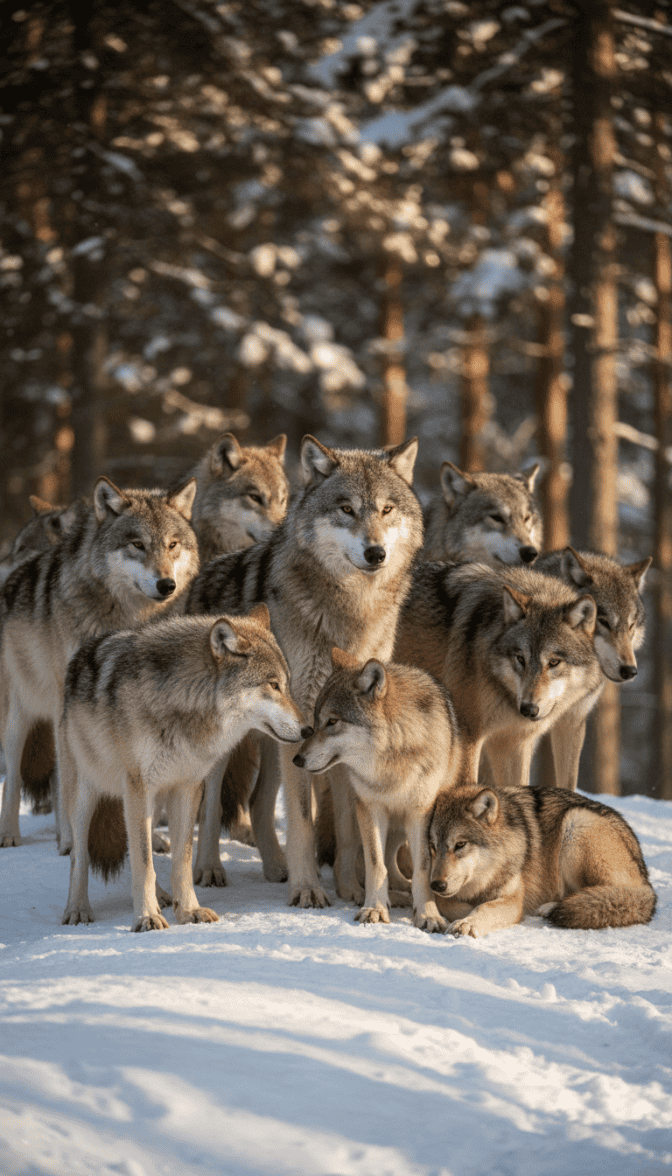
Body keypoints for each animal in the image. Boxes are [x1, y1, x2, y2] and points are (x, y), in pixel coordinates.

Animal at [0, 477, 199, 850]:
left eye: (172, 545)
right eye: (138, 544)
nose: (167, 584)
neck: (128, 615)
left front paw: (151, 840)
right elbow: (68, 779)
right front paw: (71, 842)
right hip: (20, 716)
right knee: (16, 776)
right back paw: (11, 833)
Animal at [60, 606, 306, 931]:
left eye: (287, 685)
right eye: (273, 685)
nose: (308, 729)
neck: (183, 701)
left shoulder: (187, 788)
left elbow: (180, 860)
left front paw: (188, 910)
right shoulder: (138, 787)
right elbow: (142, 862)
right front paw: (146, 917)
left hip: (151, 803)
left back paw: (163, 897)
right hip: (87, 796)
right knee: (80, 856)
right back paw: (77, 909)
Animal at [293, 648, 463, 932]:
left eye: (332, 721)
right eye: (316, 722)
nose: (297, 759)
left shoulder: (420, 812)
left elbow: (421, 868)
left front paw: (427, 913)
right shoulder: (370, 808)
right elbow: (376, 864)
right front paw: (374, 907)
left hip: (401, 824)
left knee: (394, 860)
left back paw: (402, 893)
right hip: (351, 810)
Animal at [428, 781, 657, 936]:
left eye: (460, 845)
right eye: (432, 847)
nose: (436, 884)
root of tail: (647, 885)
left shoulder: (512, 899)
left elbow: (484, 907)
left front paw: (467, 922)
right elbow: (446, 902)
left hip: (576, 824)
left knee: (606, 893)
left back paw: (552, 907)